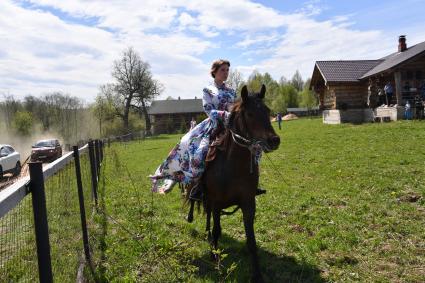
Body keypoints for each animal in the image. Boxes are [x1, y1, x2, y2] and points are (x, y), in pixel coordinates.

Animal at [188, 85, 278, 283]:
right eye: (250, 113)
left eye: (268, 111)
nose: (274, 140)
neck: (233, 166)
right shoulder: (216, 203)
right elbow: (217, 230)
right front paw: (216, 260)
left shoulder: (248, 203)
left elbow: (251, 241)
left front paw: (257, 274)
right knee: (207, 217)